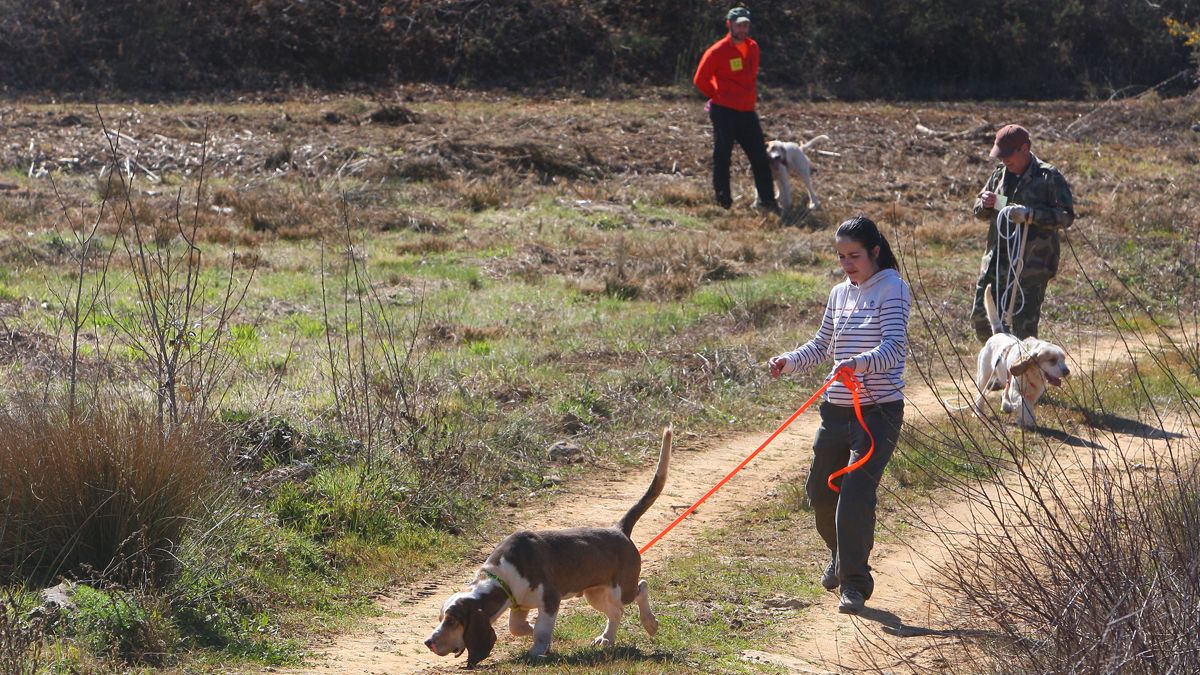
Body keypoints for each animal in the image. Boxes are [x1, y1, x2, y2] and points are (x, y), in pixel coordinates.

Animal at [422, 425, 672, 662]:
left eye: (452, 621)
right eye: (440, 618)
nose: (428, 642)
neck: (501, 576)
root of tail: (618, 529)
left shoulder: (550, 600)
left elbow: (541, 630)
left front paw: (538, 649)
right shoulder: (519, 604)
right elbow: (515, 627)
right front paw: (532, 632)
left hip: (621, 589)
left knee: (642, 587)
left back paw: (650, 623)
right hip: (595, 593)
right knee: (616, 612)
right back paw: (607, 638)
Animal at [969, 283, 1075, 425]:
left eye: (1064, 359)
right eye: (1052, 360)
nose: (1066, 371)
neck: (1033, 375)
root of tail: (999, 333)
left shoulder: (1033, 395)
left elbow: (1026, 405)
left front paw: (1021, 419)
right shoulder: (1016, 392)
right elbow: (1023, 405)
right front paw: (1029, 419)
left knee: (1004, 392)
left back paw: (1006, 406)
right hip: (983, 378)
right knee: (980, 395)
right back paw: (978, 412)